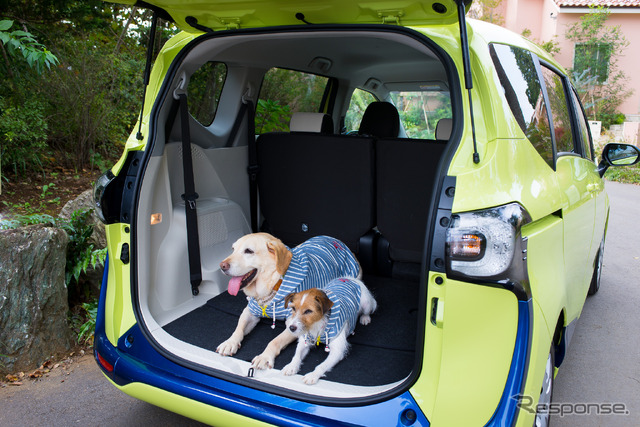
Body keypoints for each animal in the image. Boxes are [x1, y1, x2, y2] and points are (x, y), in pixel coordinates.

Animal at [219, 232, 360, 370]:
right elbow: (239, 327)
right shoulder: (250, 311)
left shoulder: (293, 323)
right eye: (233, 249)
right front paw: (229, 343)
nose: (222, 266)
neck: (273, 286)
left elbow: (275, 341)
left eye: (248, 251)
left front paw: (264, 357)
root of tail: (337, 241)